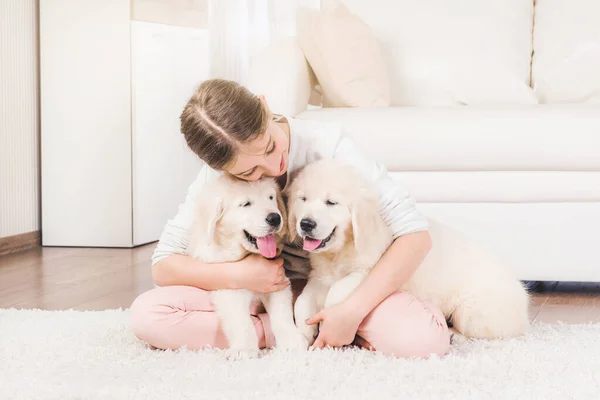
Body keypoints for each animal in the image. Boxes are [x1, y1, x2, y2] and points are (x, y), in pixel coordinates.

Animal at [290, 159, 528, 344]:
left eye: (331, 202)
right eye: (303, 199)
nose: (306, 224)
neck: (338, 253)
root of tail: (522, 296)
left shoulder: (367, 271)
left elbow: (338, 290)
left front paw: (327, 320)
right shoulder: (319, 277)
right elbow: (302, 301)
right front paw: (303, 331)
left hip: (472, 310)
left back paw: (455, 335)